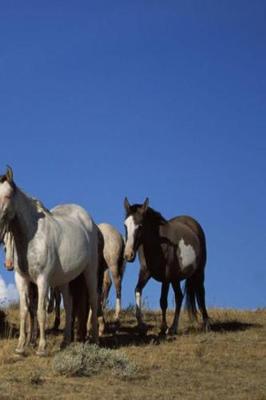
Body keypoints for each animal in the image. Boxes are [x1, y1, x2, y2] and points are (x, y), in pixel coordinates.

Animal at [0, 167, 99, 354]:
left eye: (7, 195)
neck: (30, 238)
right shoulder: (21, 279)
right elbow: (24, 311)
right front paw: (21, 347)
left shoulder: (42, 280)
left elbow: (40, 312)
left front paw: (41, 347)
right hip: (65, 279)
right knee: (69, 304)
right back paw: (65, 341)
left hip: (90, 271)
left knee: (93, 300)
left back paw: (95, 340)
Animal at [123, 198, 209, 334]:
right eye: (125, 225)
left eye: (140, 226)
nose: (128, 255)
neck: (157, 245)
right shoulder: (145, 272)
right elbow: (137, 290)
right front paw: (141, 324)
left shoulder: (166, 277)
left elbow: (163, 301)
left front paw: (163, 328)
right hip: (176, 279)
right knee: (179, 297)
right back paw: (173, 327)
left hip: (198, 272)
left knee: (201, 295)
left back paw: (206, 325)